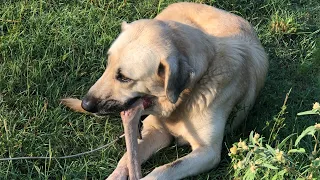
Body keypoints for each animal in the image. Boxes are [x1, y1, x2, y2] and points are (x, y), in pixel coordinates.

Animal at [62, 2, 268, 179]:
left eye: (124, 78)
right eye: (108, 65)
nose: (86, 104)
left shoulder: (208, 151)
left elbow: (163, 169)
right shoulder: (156, 130)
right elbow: (127, 159)